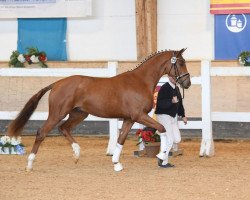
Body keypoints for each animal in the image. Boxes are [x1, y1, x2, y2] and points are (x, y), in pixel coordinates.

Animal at [7, 48, 191, 170]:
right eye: (181, 63)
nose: (187, 83)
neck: (140, 81)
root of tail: (57, 83)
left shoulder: (129, 119)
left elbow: (121, 139)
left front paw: (116, 163)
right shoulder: (139, 115)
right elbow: (162, 129)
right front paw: (161, 156)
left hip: (79, 114)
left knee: (64, 128)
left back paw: (76, 154)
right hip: (57, 113)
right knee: (42, 132)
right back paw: (30, 164)